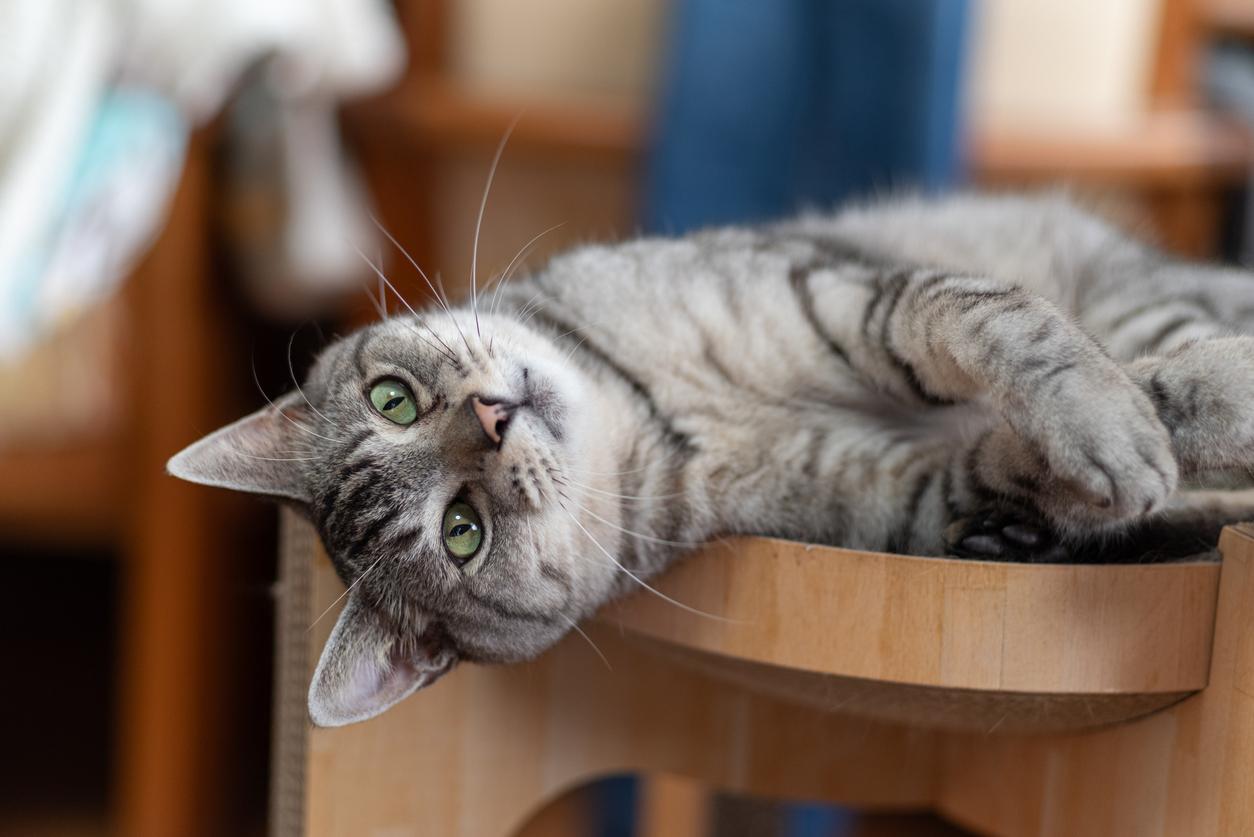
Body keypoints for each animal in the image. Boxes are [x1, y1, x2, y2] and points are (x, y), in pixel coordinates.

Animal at [169, 191, 1254, 727]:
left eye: (393, 399)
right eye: (462, 533)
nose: (492, 417)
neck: (655, 408)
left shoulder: (841, 292)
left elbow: (1007, 329)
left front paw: (1135, 413)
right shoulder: (915, 493)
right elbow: (1045, 450)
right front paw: (1141, 446)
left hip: (1134, 285)